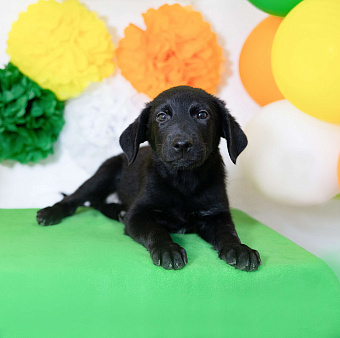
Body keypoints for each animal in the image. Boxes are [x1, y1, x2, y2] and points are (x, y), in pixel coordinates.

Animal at [36, 86, 260, 272]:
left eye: (202, 115)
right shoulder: (138, 215)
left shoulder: (216, 214)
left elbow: (228, 231)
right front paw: (168, 249)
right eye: (161, 116)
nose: (182, 144)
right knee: (75, 198)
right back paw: (51, 212)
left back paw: (117, 211)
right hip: (103, 174)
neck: (184, 181)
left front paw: (239, 248)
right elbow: (156, 230)